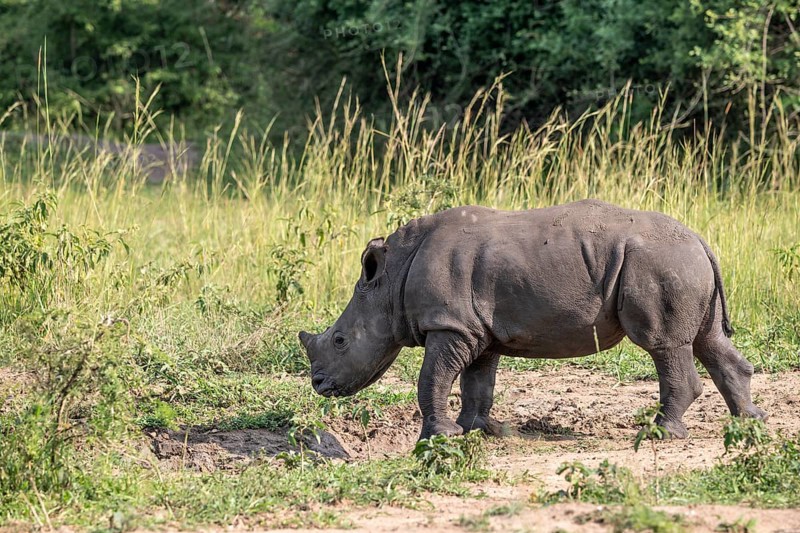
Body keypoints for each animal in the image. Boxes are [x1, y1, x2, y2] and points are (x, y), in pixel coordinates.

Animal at [299, 200, 767, 440]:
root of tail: (701, 240)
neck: (392, 279)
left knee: (664, 344)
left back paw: (662, 433)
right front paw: (482, 430)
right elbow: (477, 382)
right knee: (708, 340)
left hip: (660, 263)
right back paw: (750, 422)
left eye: (339, 341)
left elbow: (433, 377)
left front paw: (440, 437)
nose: (318, 385)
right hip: (681, 263)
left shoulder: (450, 323)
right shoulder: (475, 328)